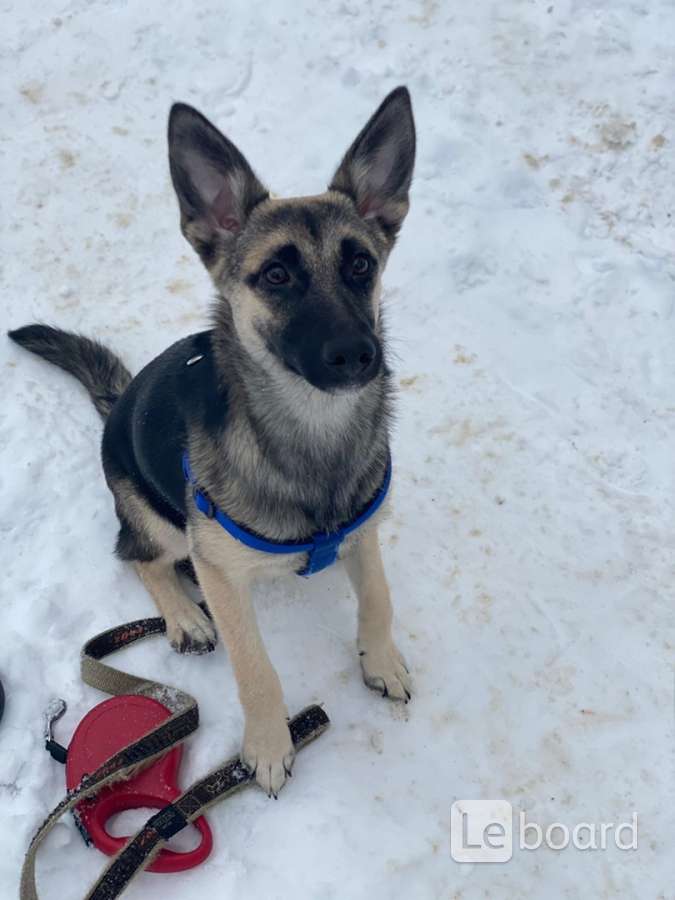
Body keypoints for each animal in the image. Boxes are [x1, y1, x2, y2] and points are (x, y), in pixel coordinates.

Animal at [9, 84, 418, 796]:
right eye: (276, 276)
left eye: (361, 264)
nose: (358, 355)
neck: (310, 434)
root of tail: (118, 403)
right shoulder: (220, 572)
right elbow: (255, 667)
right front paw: (269, 743)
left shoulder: (364, 531)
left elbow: (379, 597)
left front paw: (382, 660)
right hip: (166, 524)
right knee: (138, 555)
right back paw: (185, 616)